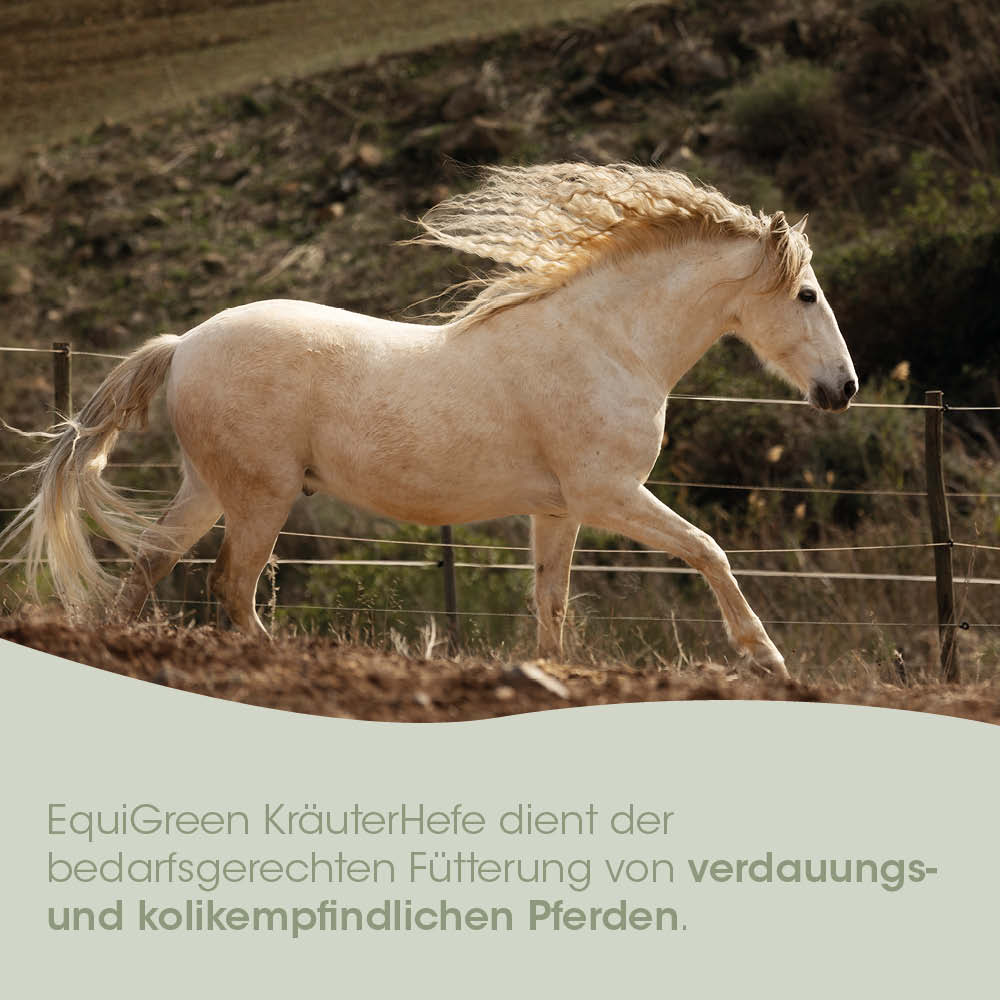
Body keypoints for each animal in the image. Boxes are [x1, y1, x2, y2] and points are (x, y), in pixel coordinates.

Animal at [0, 163, 857, 677]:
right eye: (808, 294)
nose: (843, 388)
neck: (609, 342)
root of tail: (181, 347)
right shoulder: (610, 494)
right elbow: (709, 550)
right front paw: (767, 660)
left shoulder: (560, 508)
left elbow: (550, 600)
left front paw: (547, 672)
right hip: (259, 496)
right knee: (230, 585)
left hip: (210, 487)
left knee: (152, 562)